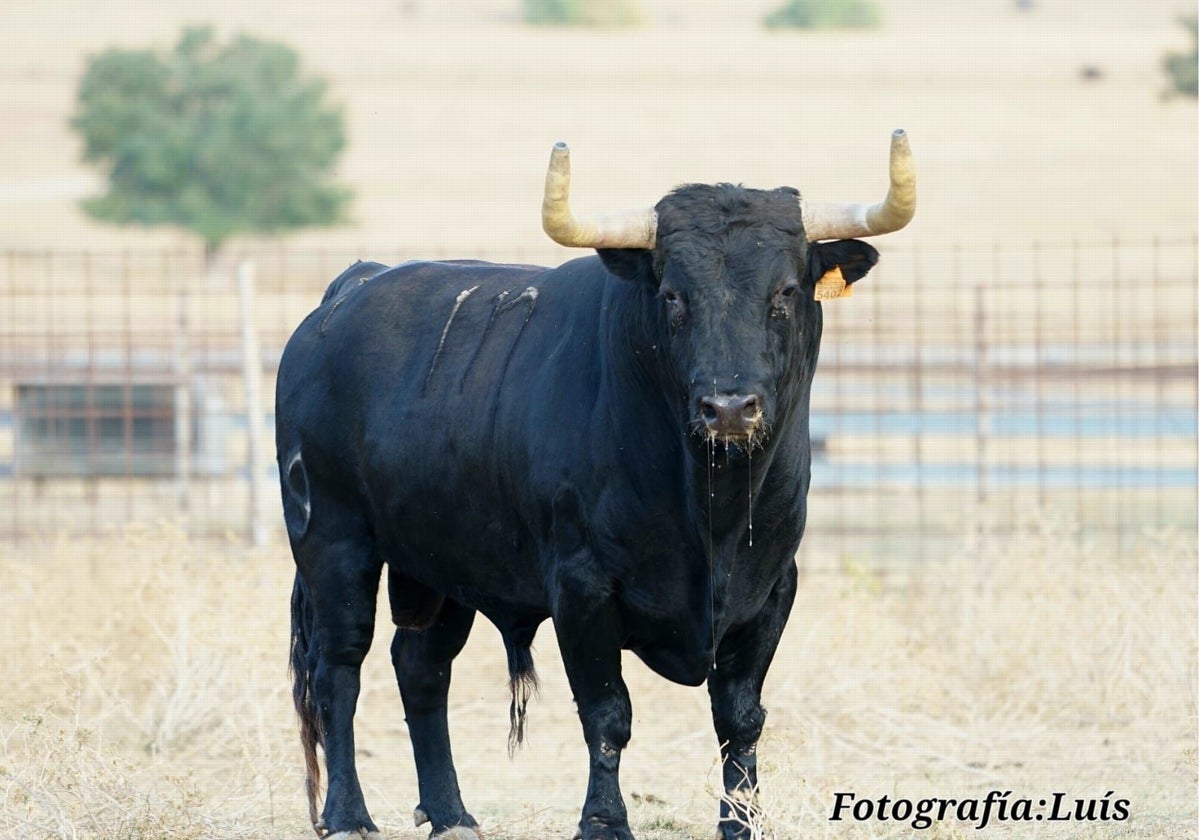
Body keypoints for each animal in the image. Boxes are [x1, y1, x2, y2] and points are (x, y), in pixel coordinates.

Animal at [278, 183, 883, 840]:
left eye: (787, 292)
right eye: (673, 294)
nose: (728, 407)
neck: (711, 515)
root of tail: (348, 291)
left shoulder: (771, 589)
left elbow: (740, 719)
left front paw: (742, 824)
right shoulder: (582, 588)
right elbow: (607, 714)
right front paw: (604, 822)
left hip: (443, 564)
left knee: (421, 668)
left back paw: (451, 814)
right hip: (334, 543)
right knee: (339, 668)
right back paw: (347, 815)